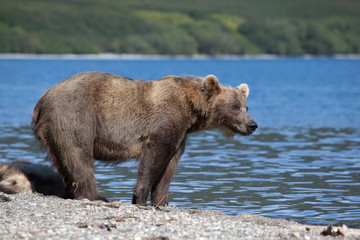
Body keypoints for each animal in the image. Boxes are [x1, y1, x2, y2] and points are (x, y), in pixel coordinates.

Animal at [31, 72, 256, 205]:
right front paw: (140, 198)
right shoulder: (164, 121)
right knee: (78, 155)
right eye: (235, 106)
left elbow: (169, 167)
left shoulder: (180, 134)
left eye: (246, 106)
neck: (191, 110)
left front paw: (162, 202)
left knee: (64, 159)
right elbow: (154, 157)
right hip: (75, 114)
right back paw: (97, 196)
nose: (252, 125)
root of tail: (42, 98)